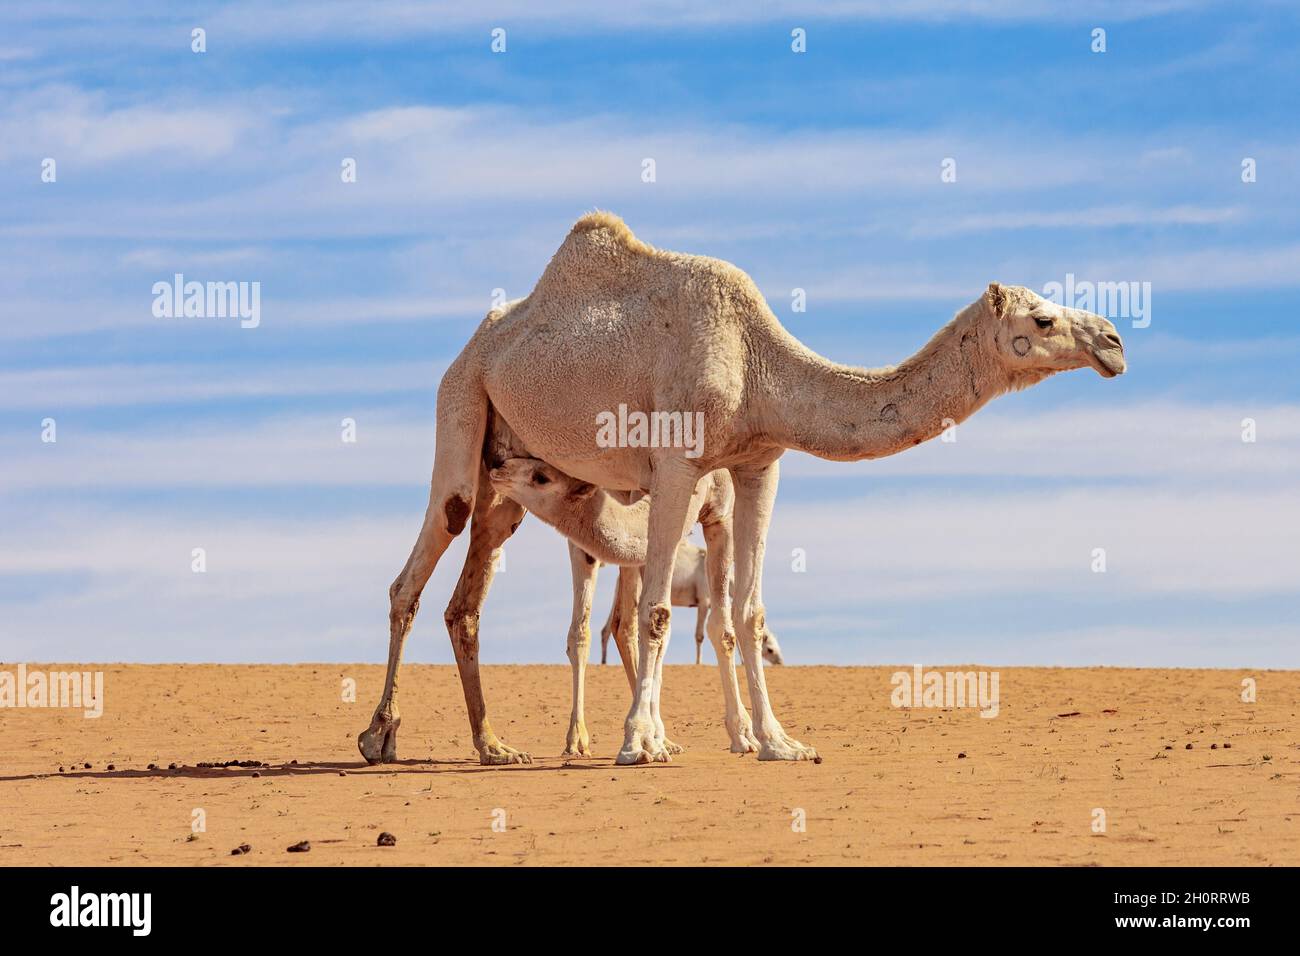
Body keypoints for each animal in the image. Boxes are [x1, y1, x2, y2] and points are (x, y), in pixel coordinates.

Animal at [358, 210, 1128, 770]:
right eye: (1042, 320)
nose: (1115, 342)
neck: (759, 365)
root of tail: (475, 345)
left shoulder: (760, 465)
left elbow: (749, 614)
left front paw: (779, 742)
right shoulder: (676, 464)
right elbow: (659, 612)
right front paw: (642, 743)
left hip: (510, 471)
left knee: (467, 597)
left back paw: (494, 745)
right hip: (461, 405)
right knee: (420, 562)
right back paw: (378, 737)